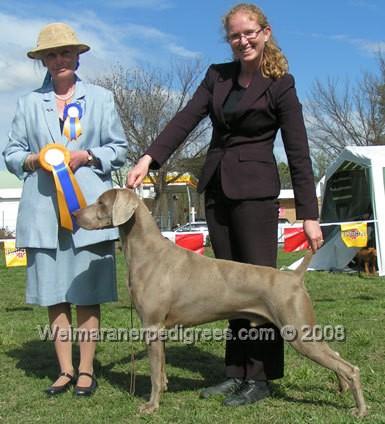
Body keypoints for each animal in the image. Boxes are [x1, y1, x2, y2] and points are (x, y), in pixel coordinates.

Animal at [73, 189, 366, 418]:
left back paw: (360, 409)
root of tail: (294, 276)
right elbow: (162, 368)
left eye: (101, 202)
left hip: (298, 331)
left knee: (350, 367)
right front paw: (163, 390)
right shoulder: (160, 330)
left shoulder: (152, 325)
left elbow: (155, 373)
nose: (75, 215)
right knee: (336, 355)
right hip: (305, 330)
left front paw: (151, 406)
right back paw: (341, 388)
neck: (148, 253)